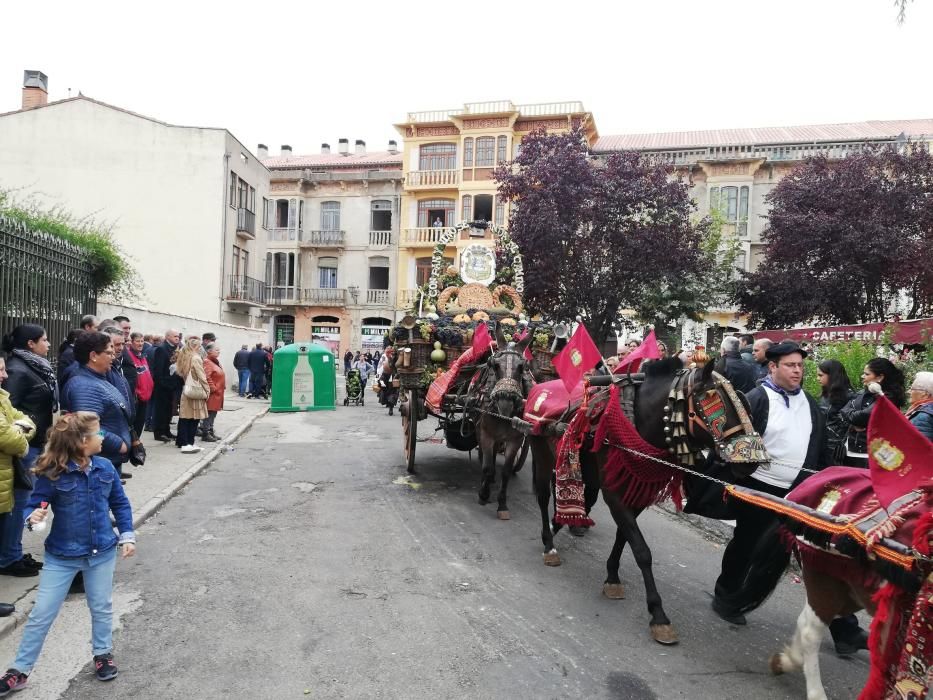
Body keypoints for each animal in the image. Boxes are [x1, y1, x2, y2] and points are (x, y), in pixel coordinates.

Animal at [528, 358, 768, 644]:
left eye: (742, 399)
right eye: (712, 399)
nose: (753, 461)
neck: (635, 424)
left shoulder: (638, 494)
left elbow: (624, 538)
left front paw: (612, 576)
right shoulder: (614, 494)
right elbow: (642, 550)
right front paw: (658, 614)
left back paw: (559, 524)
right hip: (540, 451)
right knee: (544, 497)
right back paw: (549, 543)